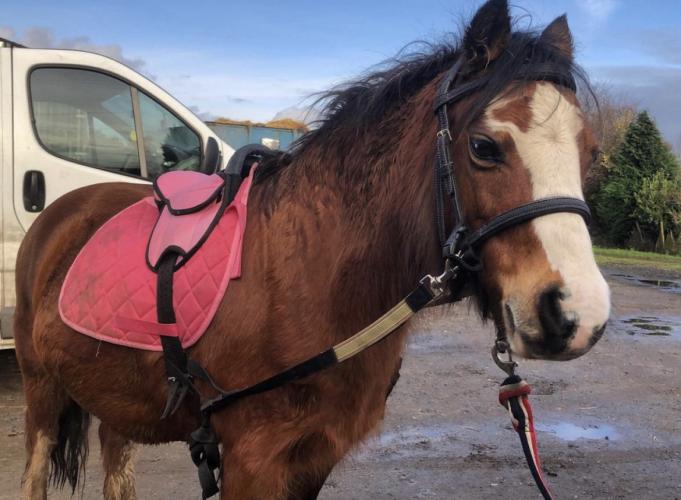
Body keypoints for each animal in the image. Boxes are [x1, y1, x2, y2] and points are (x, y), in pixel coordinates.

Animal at [14, 1, 610, 498]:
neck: (310, 275)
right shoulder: (253, 461)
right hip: (41, 393)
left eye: (590, 152)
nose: (576, 314)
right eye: (484, 147)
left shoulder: (313, 459)